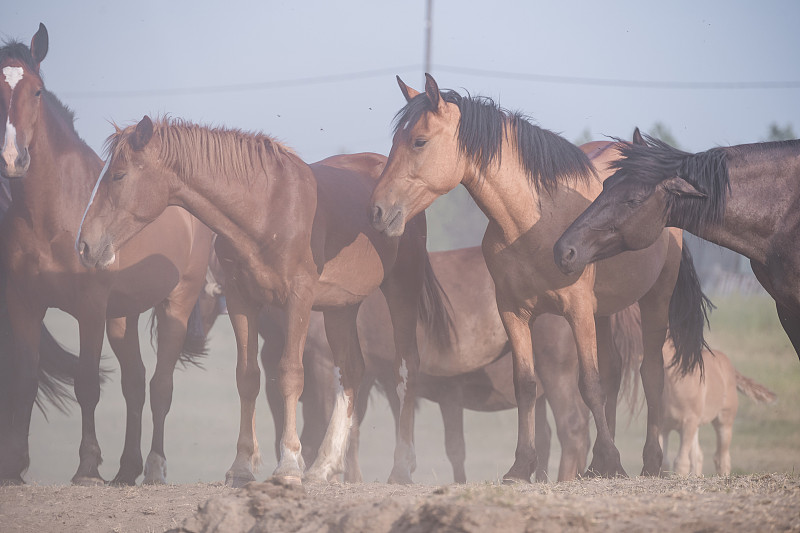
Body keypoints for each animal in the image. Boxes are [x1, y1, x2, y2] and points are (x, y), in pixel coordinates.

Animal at [0, 23, 216, 482]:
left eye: (37, 91)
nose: (13, 159)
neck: (52, 213)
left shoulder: (89, 307)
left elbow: (86, 384)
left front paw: (86, 466)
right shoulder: (24, 303)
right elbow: (25, 378)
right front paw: (14, 465)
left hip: (175, 302)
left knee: (160, 386)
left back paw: (153, 468)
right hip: (122, 315)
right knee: (134, 383)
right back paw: (126, 471)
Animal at [77, 117, 454, 486]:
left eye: (119, 175)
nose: (84, 245)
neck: (266, 209)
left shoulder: (298, 300)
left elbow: (290, 375)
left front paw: (288, 464)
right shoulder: (242, 301)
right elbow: (247, 377)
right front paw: (242, 466)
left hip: (401, 289)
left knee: (406, 369)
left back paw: (401, 469)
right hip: (341, 308)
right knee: (351, 372)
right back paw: (324, 467)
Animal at [366, 74, 708, 478]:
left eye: (419, 141)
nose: (377, 211)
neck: (533, 220)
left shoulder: (576, 310)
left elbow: (589, 384)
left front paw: (613, 460)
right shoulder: (514, 312)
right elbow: (527, 385)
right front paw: (522, 466)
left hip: (655, 298)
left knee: (650, 372)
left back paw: (648, 463)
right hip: (603, 313)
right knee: (612, 372)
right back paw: (596, 464)